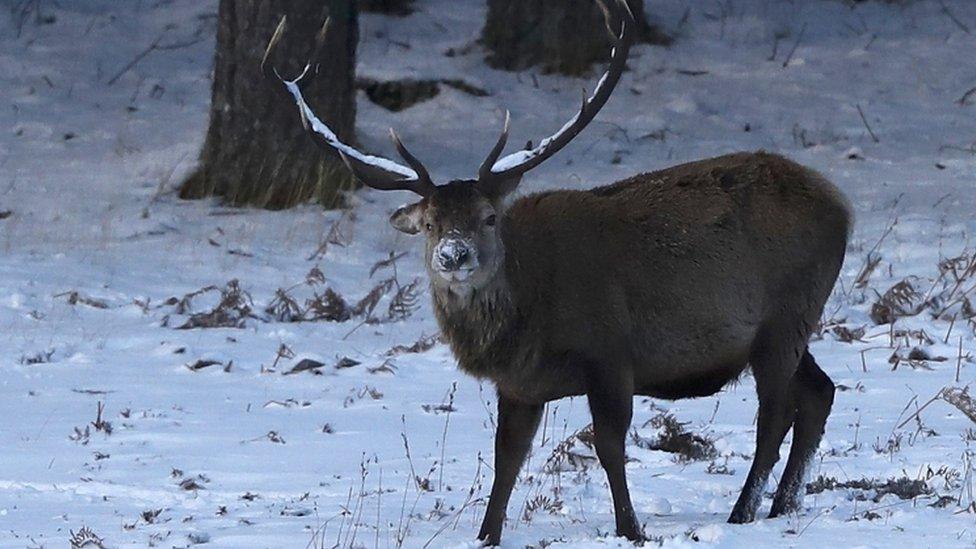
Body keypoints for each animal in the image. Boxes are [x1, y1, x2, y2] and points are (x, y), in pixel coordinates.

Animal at [272, 0, 848, 540]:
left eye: (488, 217)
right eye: (431, 223)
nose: (454, 256)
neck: (529, 319)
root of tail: (842, 206)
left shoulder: (611, 353)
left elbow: (610, 449)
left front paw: (630, 528)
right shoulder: (518, 386)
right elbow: (506, 460)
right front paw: (486, 535)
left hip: (786, 315)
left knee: (774, 415)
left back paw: (742, 513)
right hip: (788, 327)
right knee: (819, 393)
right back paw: (782, 504)